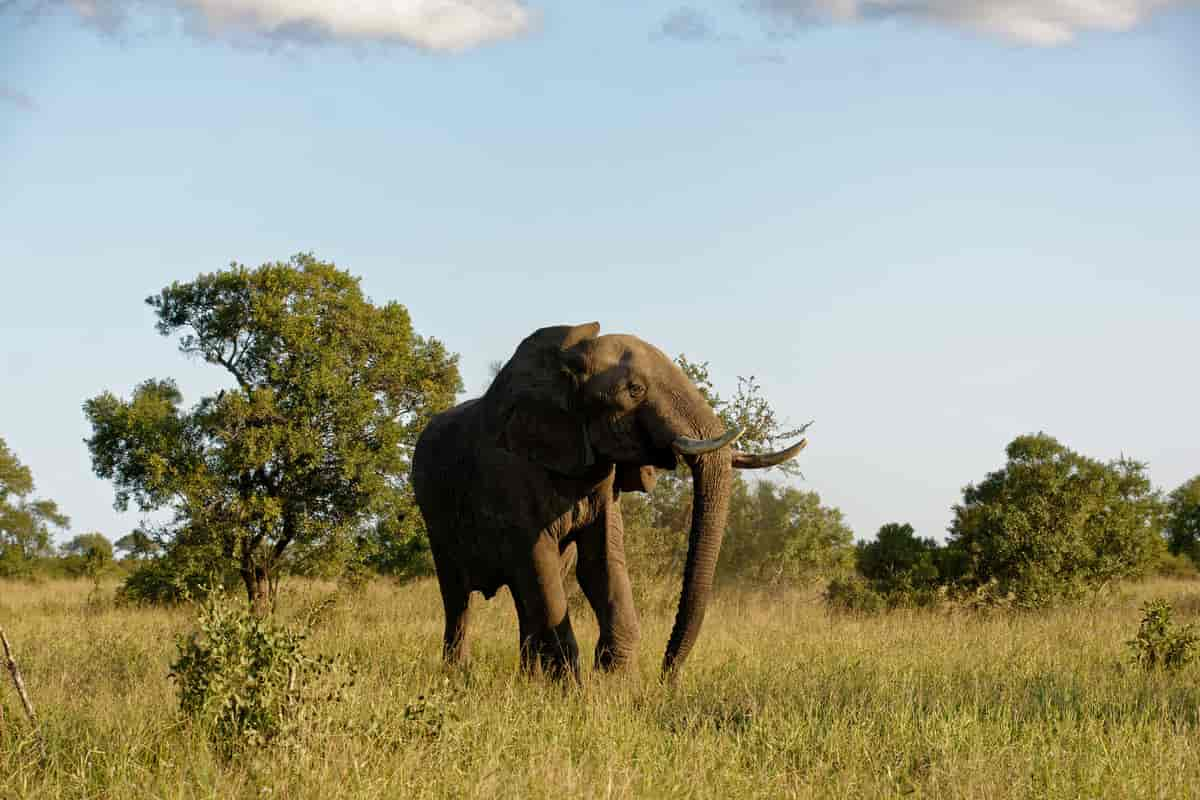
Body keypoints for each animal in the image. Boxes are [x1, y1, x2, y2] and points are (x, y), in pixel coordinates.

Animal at [412, 321, 806, 681]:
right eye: (634, 390)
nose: (667, 678)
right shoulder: (510, 475)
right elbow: (541, 565)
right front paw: (572, 693)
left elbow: (602, 563)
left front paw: (615, 686)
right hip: (435, 517)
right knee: (459, 597)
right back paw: (456, 675)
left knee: (526, 599)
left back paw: (527, 680)